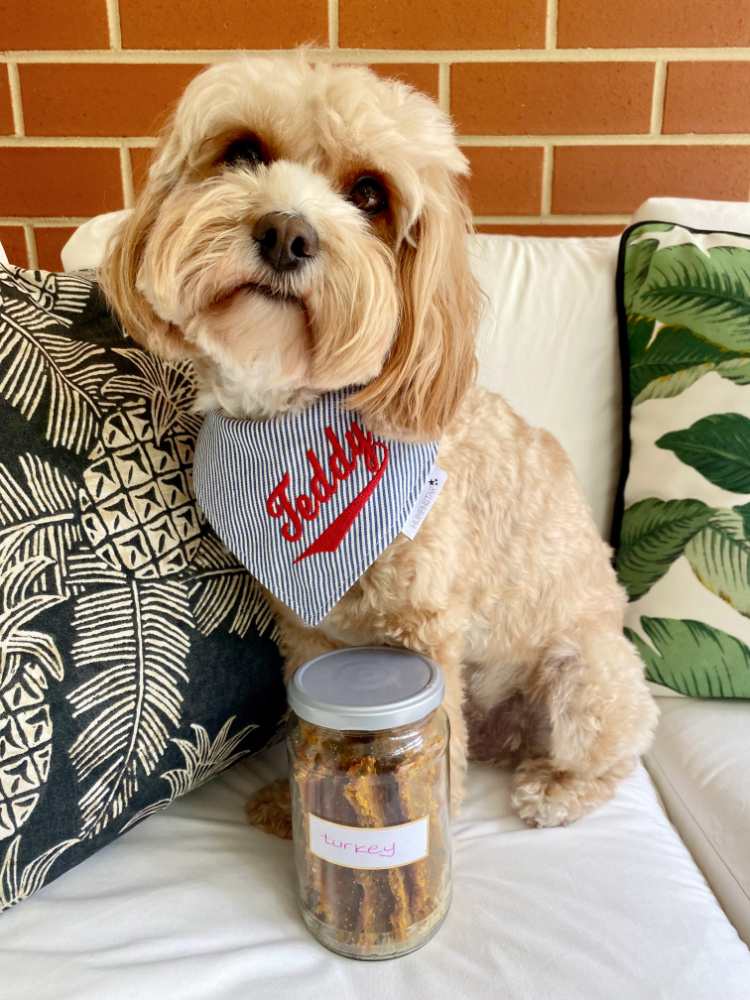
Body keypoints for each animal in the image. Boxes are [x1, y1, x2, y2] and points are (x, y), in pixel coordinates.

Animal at [100, 56, 656, 836]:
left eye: (370, 194)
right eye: (242, 152)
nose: (285, 233)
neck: (295, 417)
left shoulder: (427, 625)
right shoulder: (306, 629)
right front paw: (290, 806)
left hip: (587, 678)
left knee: (609, 754)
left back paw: (556, 788)